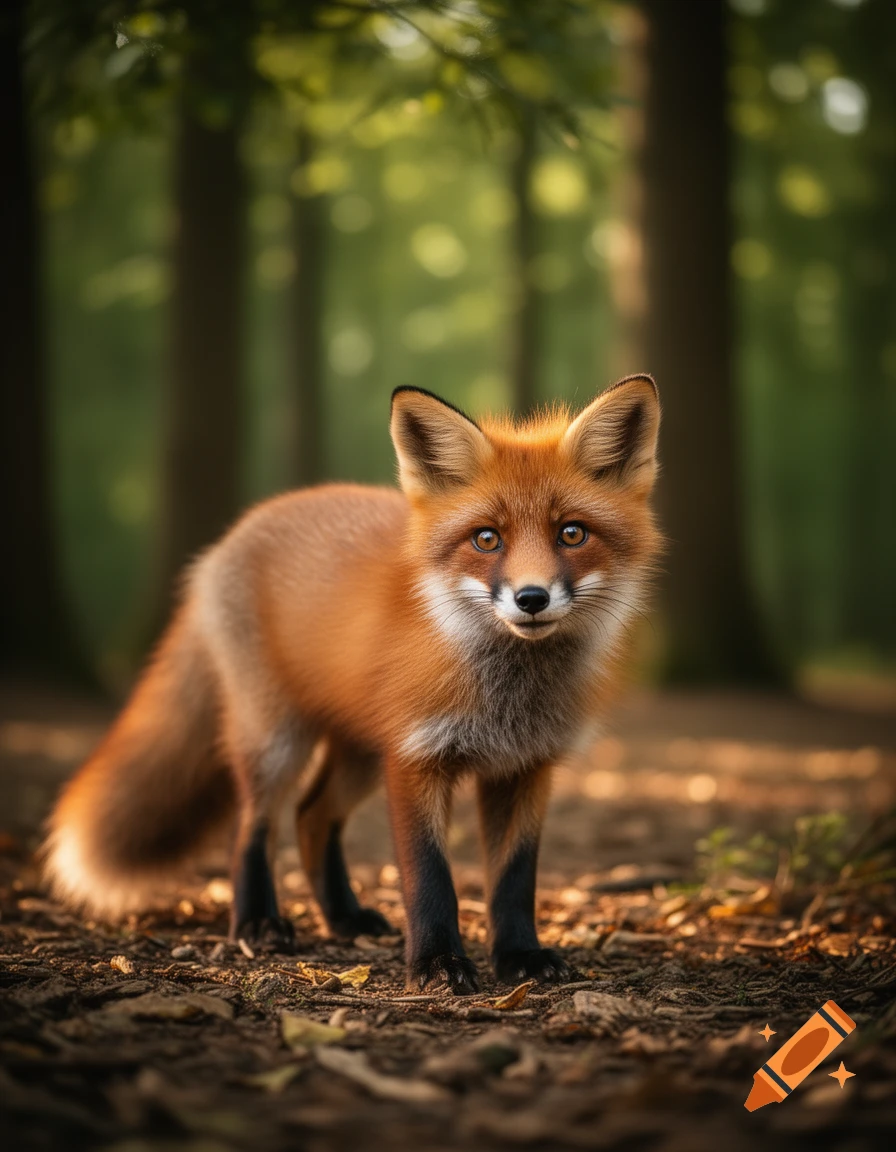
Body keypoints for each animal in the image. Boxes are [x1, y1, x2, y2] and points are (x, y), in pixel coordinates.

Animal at [43, 376, 661, 994]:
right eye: (487, 539)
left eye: (572, 533)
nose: (531, 598)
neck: (508, 693)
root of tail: (231, 537)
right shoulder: (415, 759)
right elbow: (428, 877)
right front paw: (437, 963)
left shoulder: (525, 767)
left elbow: (514, 880)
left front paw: (519, 956)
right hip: (277, 740)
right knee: (252, 824)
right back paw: (257, 923)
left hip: (360, 752)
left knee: (311, 815)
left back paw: (343, 918)